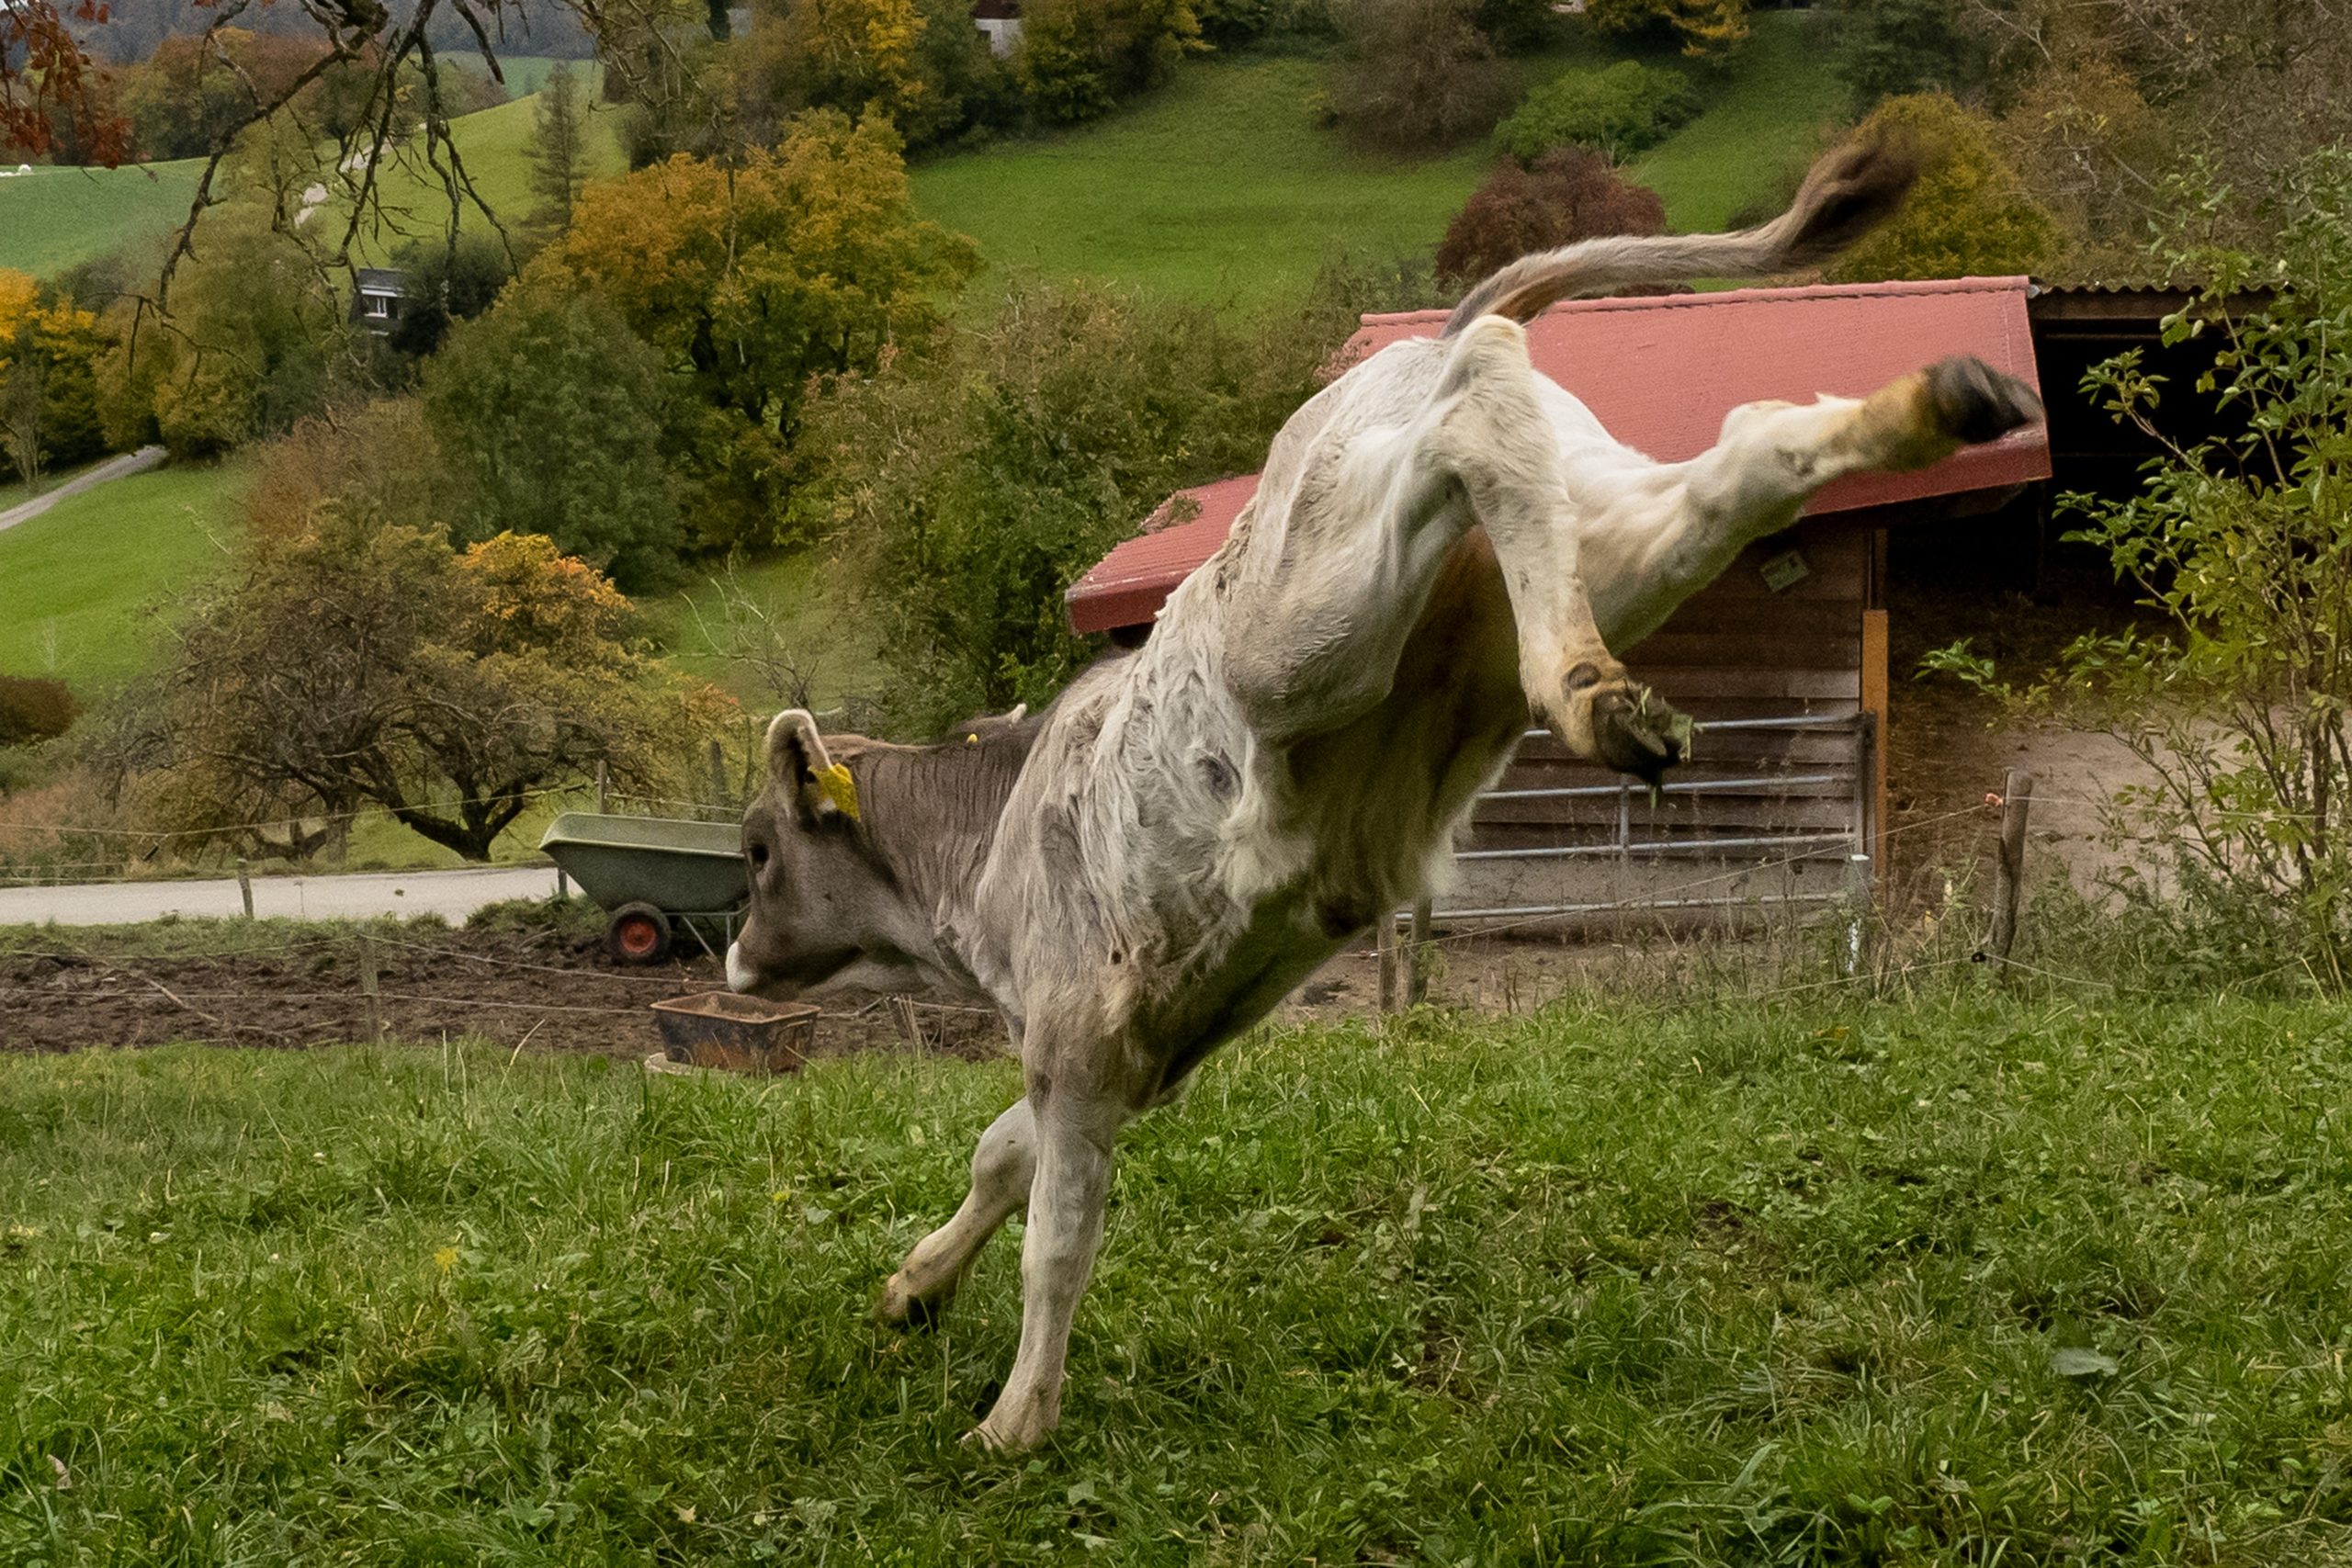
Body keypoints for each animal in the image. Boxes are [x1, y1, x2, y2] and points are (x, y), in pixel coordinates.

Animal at [719, 131, 2041, 1448]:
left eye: (756, 851)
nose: (732, 959)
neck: (985, 840)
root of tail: (1426, 340)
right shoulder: (1127, 1053)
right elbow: (1006, 1156)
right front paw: (915, 1286)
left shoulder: (1081, 1036)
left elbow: (1057, 1228)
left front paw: (1013, 1420)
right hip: (1600, 543)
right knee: (1745, 456)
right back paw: (1928, 410)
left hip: (1303, 628)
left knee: (1483, 418)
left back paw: (1590, 688)